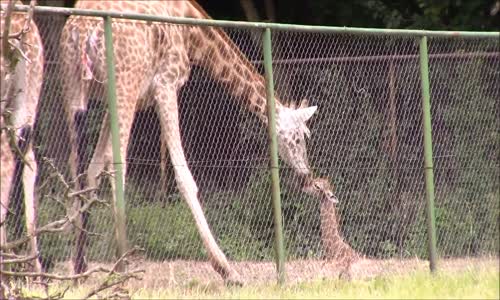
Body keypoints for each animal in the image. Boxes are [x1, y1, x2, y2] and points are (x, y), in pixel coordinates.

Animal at [58, 0, 316, 284]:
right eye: (299, 138)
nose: (307, 175)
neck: (192, 31)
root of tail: (83, 31)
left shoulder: (120, 100)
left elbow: (92, 171)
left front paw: (78, 267)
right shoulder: (165, 84)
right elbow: (183, 177)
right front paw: (228, 271)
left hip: (74, 86)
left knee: (72, 164)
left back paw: (64, 264)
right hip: (124, 83)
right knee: (116, 164)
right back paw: (122, 268)